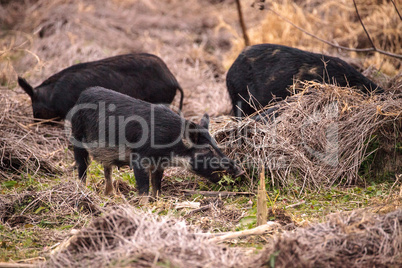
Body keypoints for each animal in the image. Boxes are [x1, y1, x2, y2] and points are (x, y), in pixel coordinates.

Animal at [69, 87, 243, 196]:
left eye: (216, 145)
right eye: (207, 150)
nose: (240, 170)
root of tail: (82, 95)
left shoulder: (159, 164)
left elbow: (157, 183)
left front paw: (158, 199)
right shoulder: (139, 158)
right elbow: (143, 187)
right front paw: (145, 205)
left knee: (107, 170)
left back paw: (111, 195)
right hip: (77, 137)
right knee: (82, 167)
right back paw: (83, 190)